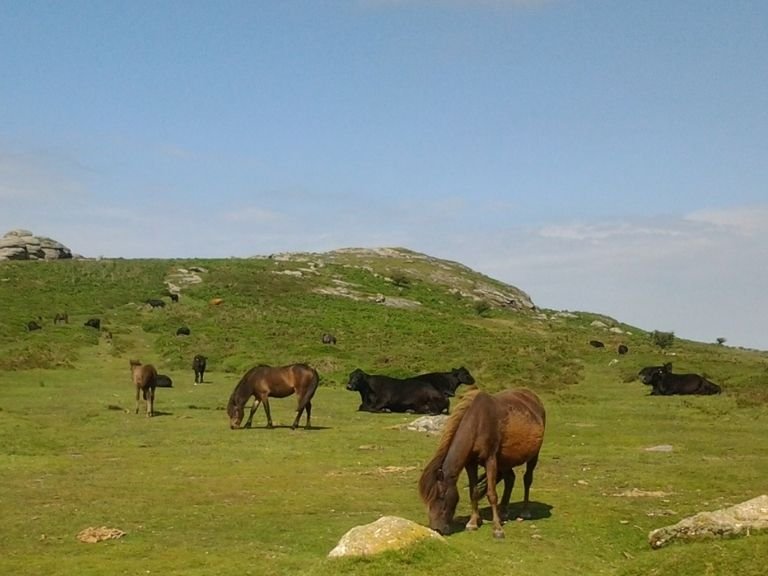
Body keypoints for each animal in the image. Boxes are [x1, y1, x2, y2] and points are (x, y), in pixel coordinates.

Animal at [420, 388, 544, 540]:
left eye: (441, 496)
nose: (436, 528)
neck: (477, 423)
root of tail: (532, 396)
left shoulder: (490, 460)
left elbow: (492, 494)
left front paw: (497, 529)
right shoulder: (470, 464)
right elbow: (474, 492)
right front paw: (473, 522)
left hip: (533, 456)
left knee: (527, 479)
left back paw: (525, 511)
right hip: (505, 461)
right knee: (510, 479)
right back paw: (504, 511)